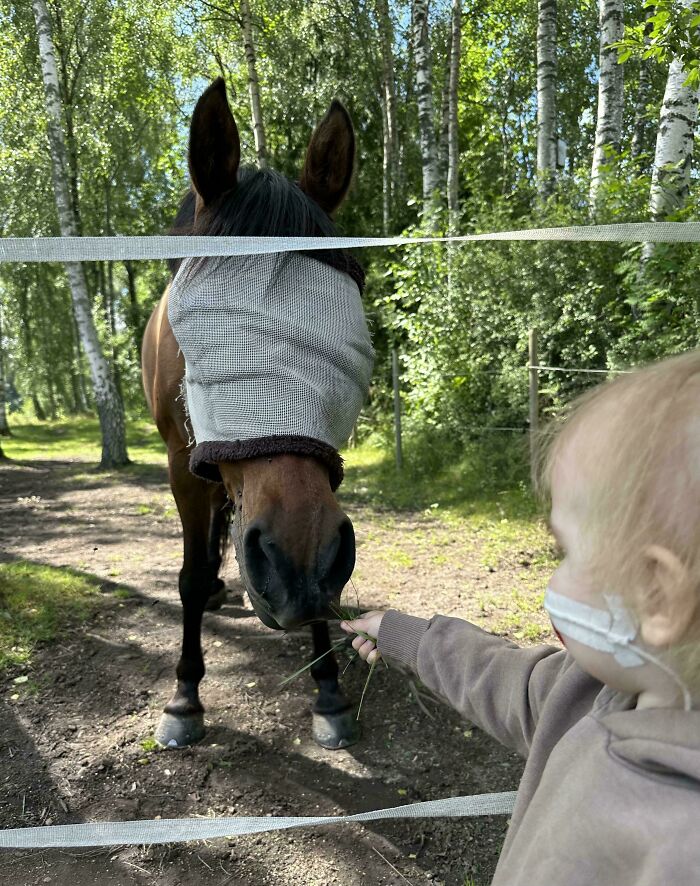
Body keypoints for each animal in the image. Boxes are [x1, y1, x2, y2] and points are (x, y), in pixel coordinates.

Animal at [141, 78, 371, 752]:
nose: (297, 556)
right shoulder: (182, 464)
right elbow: (190, 575)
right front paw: (184, 698)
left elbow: (322, 597)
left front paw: (329, 692)